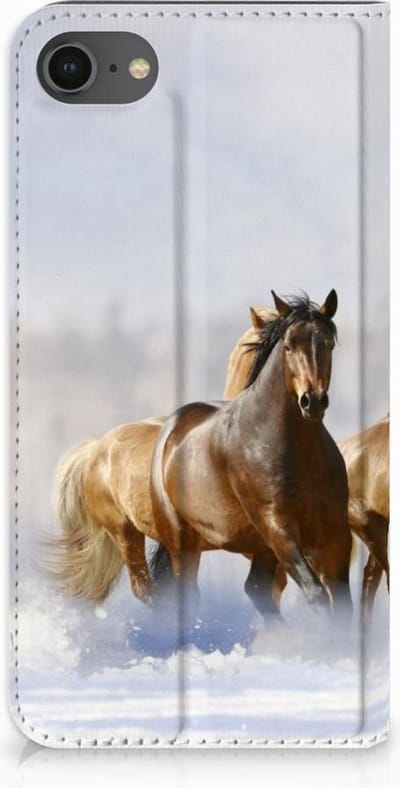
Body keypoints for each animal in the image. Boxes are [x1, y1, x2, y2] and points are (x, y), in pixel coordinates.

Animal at [149, 290, 352, 618]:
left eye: (328, 344)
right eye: (288, 345)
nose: (312, 401)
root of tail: (171, 429)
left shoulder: (335, 534)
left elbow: (343, 603)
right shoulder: (279, 529)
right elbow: (317, 594)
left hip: (258, 548)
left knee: (257, 588)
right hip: (183, 542)